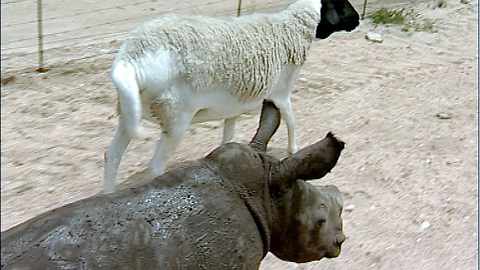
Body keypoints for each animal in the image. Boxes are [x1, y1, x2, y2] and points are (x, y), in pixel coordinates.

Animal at [106, 0, 360, 192]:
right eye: (342, 2)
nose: (357, 20)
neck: (291, 28)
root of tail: (131, 58)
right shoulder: (281, 92)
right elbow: (291, 120)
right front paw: (293, 149)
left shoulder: (234, 105)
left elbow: (229, 134)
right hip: (176, 117)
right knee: (156, 167)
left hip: (129, 113)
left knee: (112, 156)